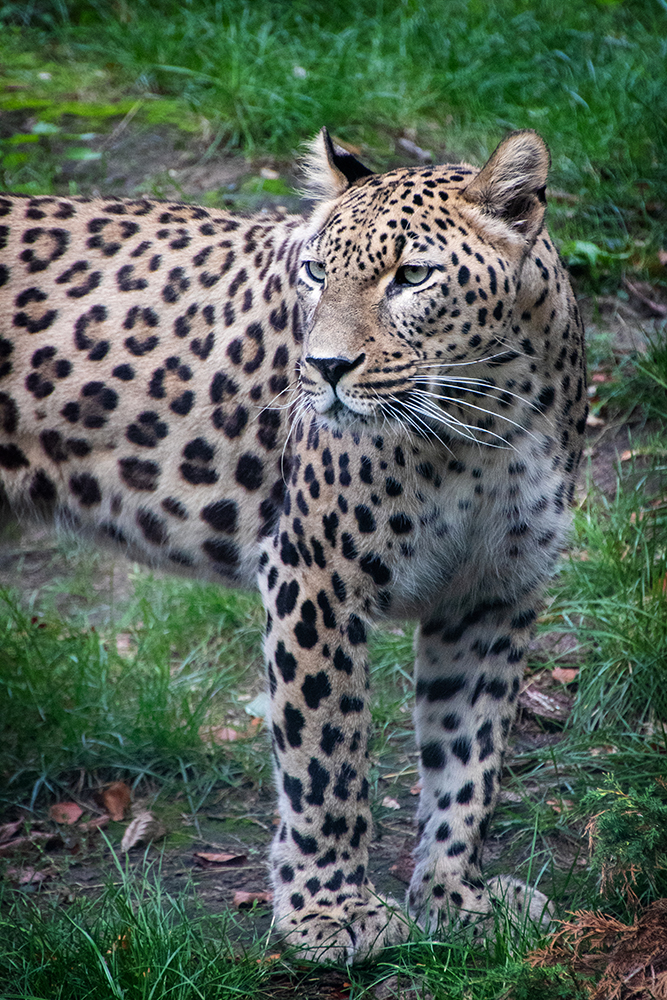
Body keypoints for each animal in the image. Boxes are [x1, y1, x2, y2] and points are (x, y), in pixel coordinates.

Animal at [0, 127, 584, 960]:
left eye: (411, 277)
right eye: (315, 272)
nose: (325, 368)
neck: (483, 422)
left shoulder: (493, 592)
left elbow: (469, 756)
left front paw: (455, 897)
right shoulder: (314, 573)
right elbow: (326, 756)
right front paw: (329, 914)